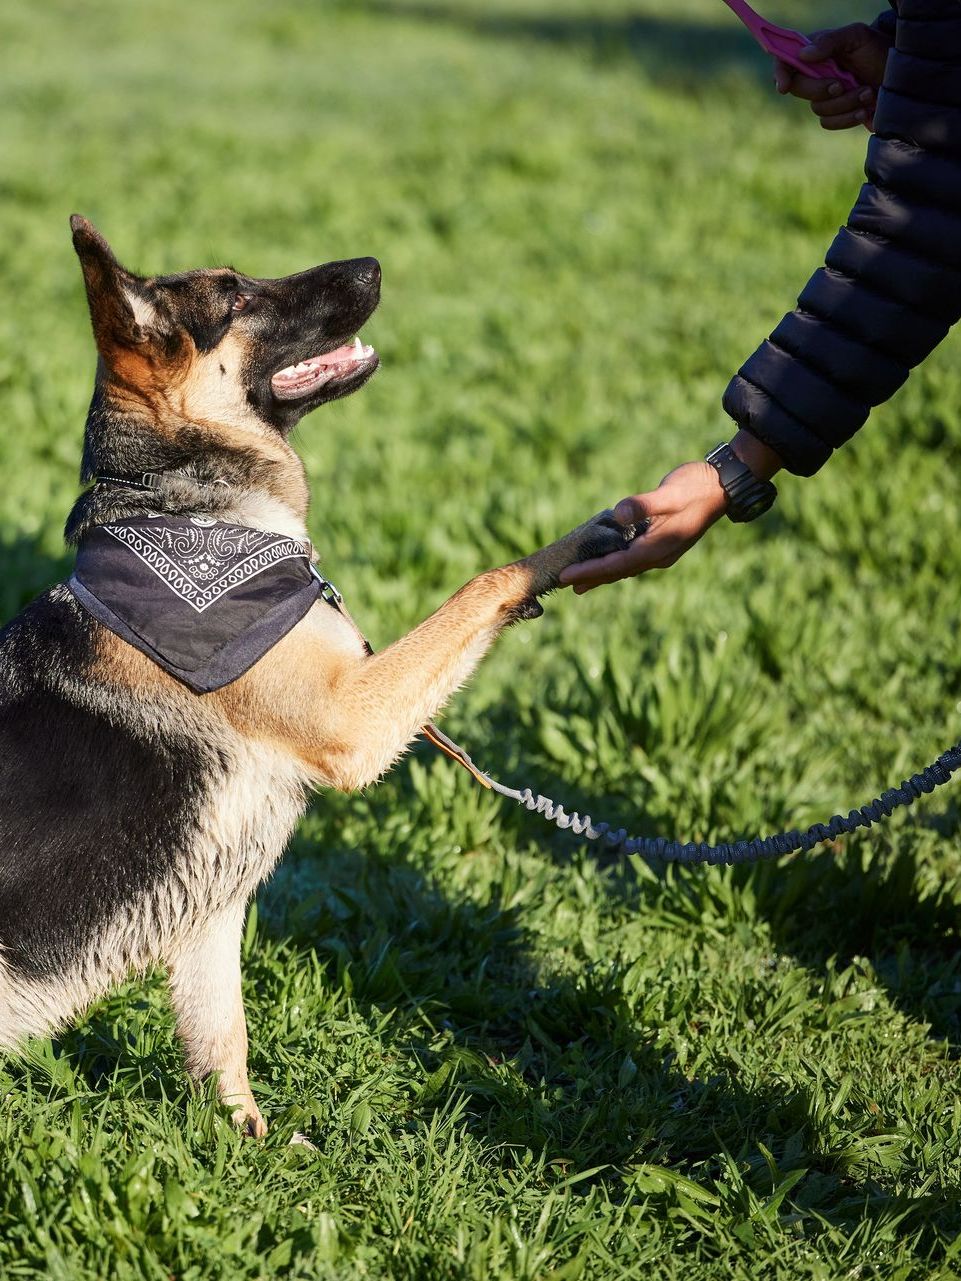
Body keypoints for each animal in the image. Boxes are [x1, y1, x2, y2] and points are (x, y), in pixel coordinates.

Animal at [0, 215, 632, 1137]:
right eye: (236, 296)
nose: (372, 262)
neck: (181, 504)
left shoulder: (210, 910)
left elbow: (221, 1037)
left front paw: (245, 1147)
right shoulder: (349, 719)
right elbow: (486, 578)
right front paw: (579, 540)